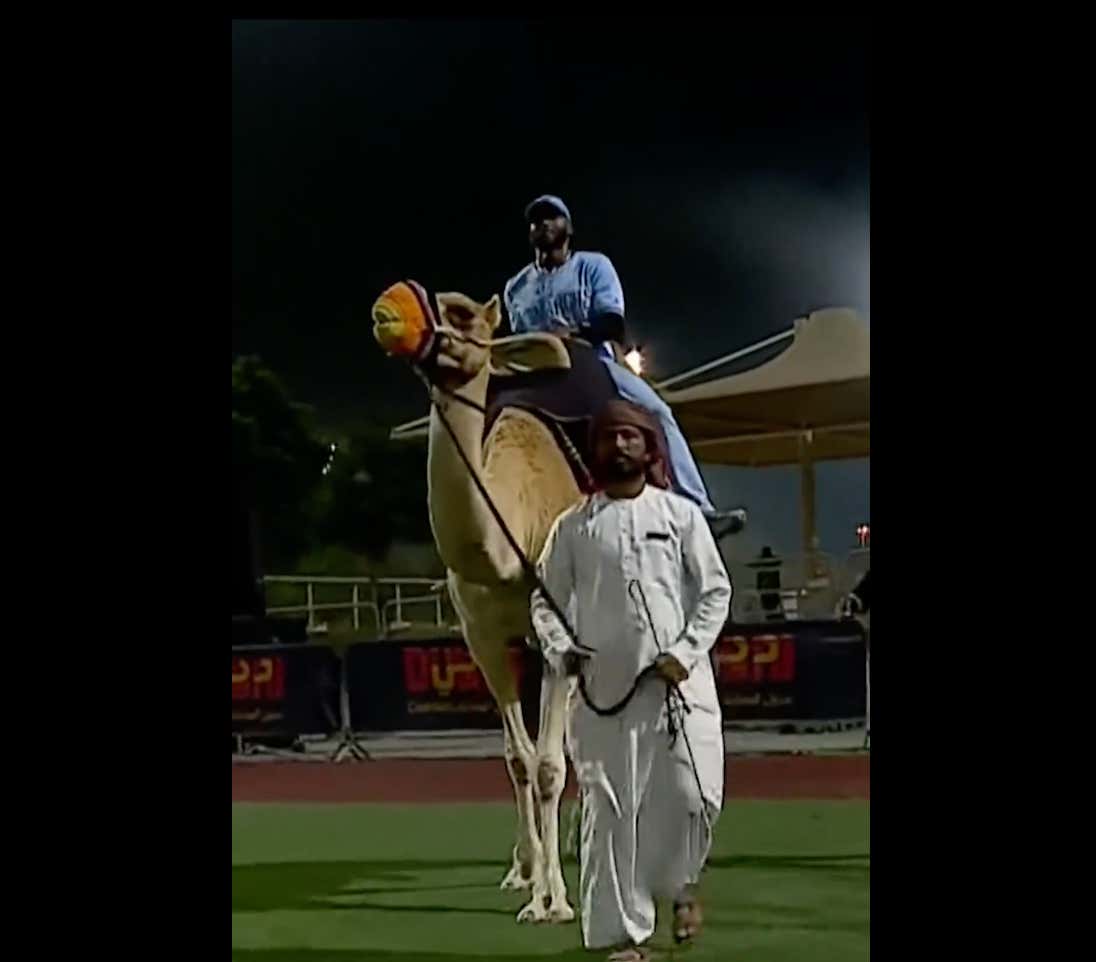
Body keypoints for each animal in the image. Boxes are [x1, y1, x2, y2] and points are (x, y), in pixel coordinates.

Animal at [372, 281, 585, 923]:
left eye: (463, 313)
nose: (386, 310)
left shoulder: (560, 637)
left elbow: (549, 765)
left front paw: (555, 902)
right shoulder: (483, 637)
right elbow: (520, 759)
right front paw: (532, 879)